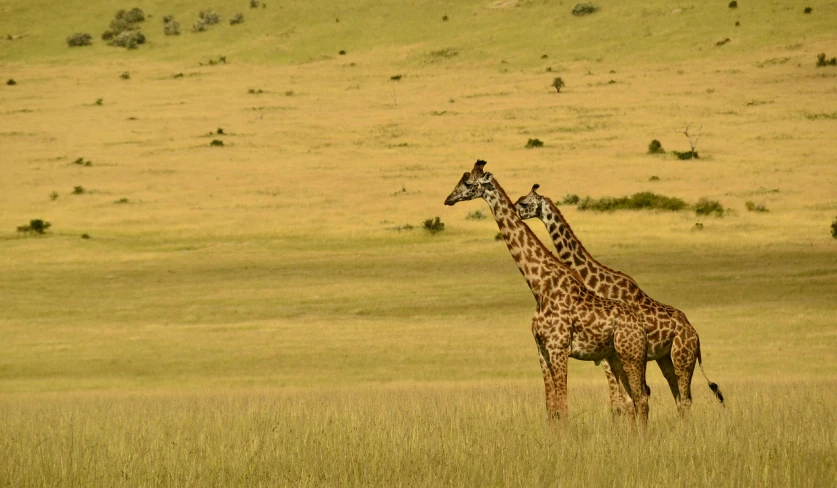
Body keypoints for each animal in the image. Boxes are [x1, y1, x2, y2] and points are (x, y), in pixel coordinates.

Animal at [440, 162, 648, 426]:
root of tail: (640, 325)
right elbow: (551, 409)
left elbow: (563, 407)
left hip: (630, 355)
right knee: (632, 400)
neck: (539, 286)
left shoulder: (558, 348)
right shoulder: (541, 350)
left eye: (467, 183)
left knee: (641, 398)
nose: (448, 199)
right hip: (616, 358)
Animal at [512, 184, 720, 416]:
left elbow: (621, 402)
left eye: (524, 203)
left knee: (684, 398)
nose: (514, 211)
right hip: (664, 358)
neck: (595, 282)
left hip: (681, 358)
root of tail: (695, 334)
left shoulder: (608, 354)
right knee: (677, 396)